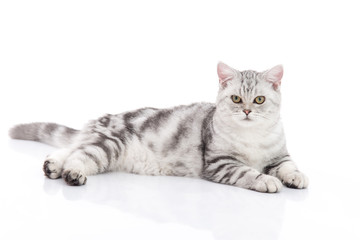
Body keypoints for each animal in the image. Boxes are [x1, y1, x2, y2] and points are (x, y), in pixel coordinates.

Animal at [9, 62, 306, 193]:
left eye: (259, 100)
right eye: (235, 98)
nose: (246, 111)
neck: (251, 137)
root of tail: (102, 120)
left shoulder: (280, 156)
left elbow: (289, 166)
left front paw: (296, 177)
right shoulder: (221, 162)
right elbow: (249, 172)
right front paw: (266, 180)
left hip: (99, 143)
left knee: (71, 149)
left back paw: (52, 166)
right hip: (108, 146)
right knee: (78, 156)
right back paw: (71, 174)